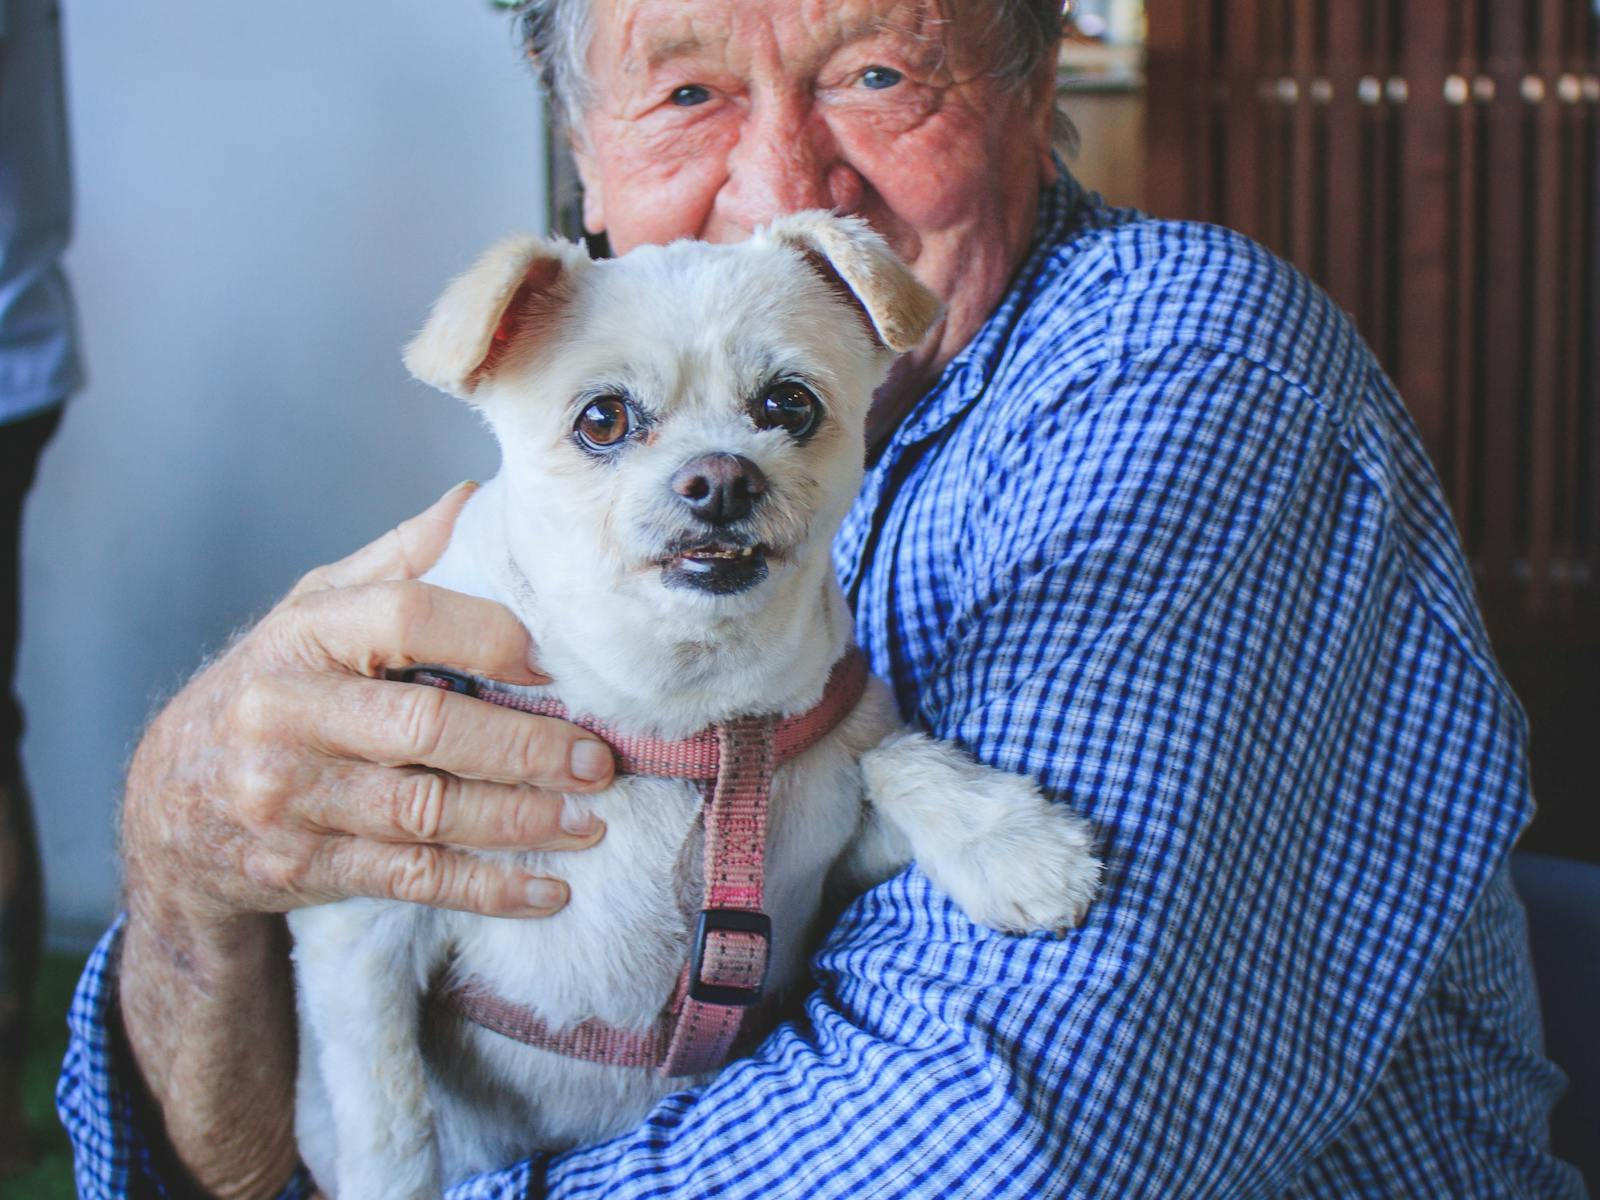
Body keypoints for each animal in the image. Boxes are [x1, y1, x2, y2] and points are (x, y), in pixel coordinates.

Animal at [291, 219, 1100, 1200]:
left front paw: (1008, 842)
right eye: (602, 419)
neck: (679, 717)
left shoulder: (828, 860)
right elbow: (391, 1127)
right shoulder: (361, 924)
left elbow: (890, 754)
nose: (720, 478)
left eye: (790, 405)